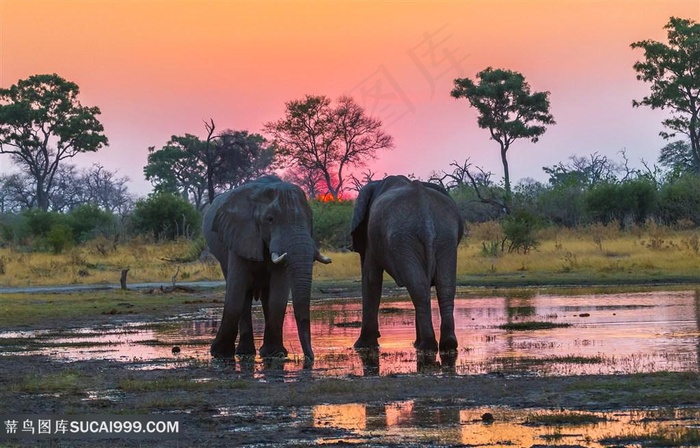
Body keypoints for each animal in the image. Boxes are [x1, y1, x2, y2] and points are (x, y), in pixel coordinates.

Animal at [202, 174, 330, 360]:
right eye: (270, 219)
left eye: (310, 219)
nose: (310, 358)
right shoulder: (239, 234)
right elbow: (236, 290)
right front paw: (219, 353)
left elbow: (278, 293)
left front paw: (274, 354)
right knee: (244, 295)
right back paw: (244, 352)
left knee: (265, 296)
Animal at [350, 175, 464, 356]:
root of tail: (425, 215)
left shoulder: (372, 238)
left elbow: (371, 278)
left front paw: (362, 346)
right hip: (444, 236)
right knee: (442, 286)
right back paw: (446, 344)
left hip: (404, 238)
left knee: (419, 286)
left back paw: (426, 346)